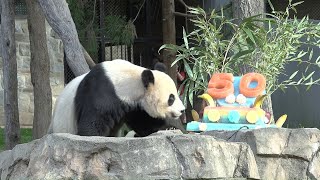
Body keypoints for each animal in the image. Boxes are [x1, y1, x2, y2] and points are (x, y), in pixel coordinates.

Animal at [48, 59, 186, 136]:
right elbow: (92, 123)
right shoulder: (100, 92)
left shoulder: (133, 105)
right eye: (171, 98)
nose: (182, 110)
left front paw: (169, 128)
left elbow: (143, 122)